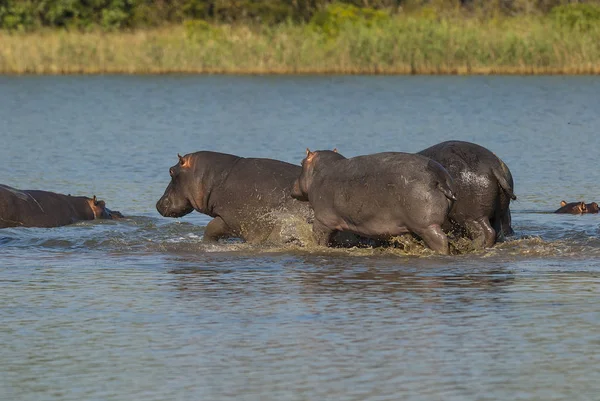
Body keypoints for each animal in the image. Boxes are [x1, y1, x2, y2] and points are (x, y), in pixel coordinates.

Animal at [290, 148, 454, 255]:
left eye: (301, 162)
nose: (293, 185)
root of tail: (439, 177)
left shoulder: (323, 219)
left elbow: (319, 237)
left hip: (426, 225)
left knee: (440, 240)